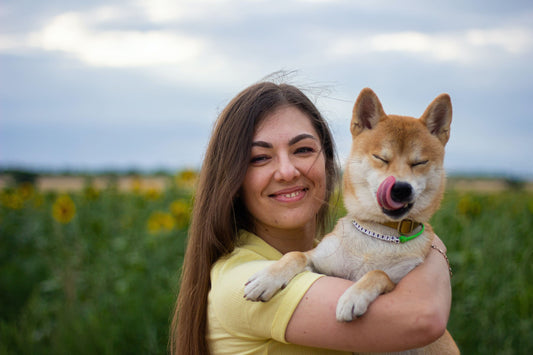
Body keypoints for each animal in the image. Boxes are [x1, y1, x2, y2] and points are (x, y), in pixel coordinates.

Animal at [244, 87, 458, 354]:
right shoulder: (320, 262)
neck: (377, 234)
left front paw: (353, 297)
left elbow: (378, 274)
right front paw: (267, 278)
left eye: (419, 162)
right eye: (380, 158)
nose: (401, 188)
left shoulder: (399, 286)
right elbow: (296, 255)